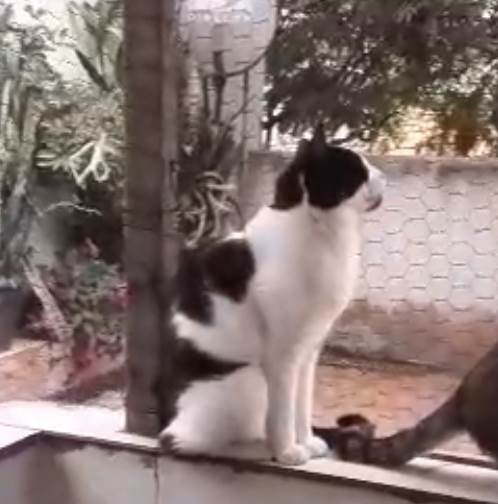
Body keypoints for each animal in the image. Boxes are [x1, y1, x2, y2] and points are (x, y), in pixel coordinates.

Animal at [159, 124, 385, 466]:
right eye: (358, 171)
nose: (383, 175)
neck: (325, 234)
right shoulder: (283, 354)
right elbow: (283, 412)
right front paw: (288, 451)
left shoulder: (309, 350)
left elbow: (302, 404)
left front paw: (307, 441)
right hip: (250, 377)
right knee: (186, 442)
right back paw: (260, 449)